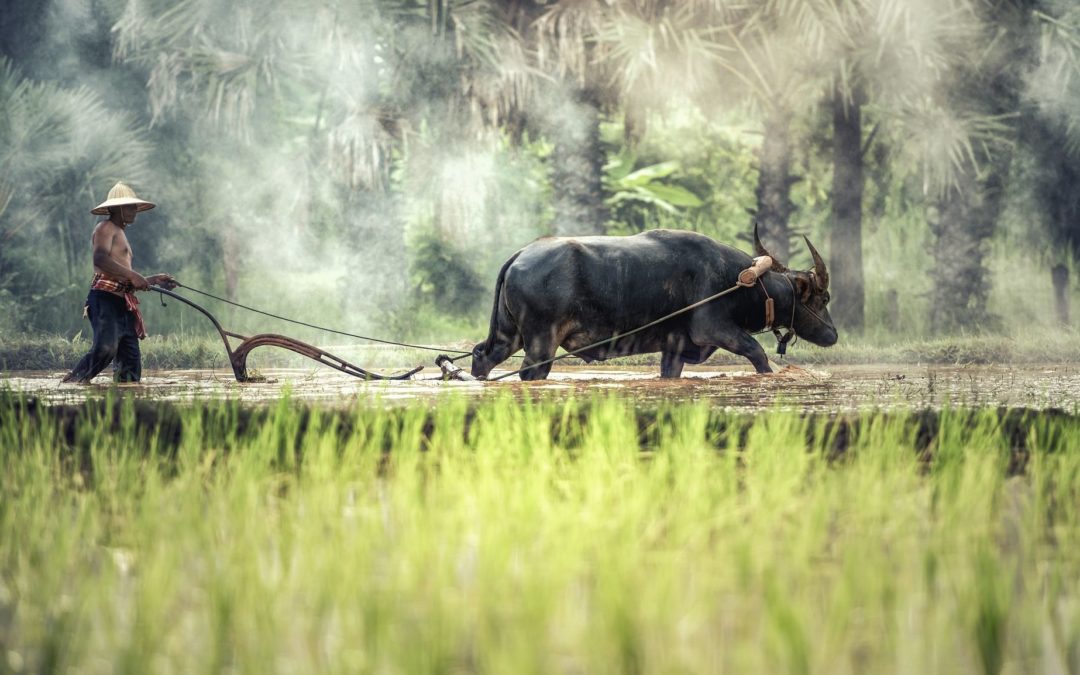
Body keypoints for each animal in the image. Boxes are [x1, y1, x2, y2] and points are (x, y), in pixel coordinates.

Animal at [470, 226, 833, 380]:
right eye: (824, 297)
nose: (833, 334)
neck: (742, 281)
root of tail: (520, 255)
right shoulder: (715, 329)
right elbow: (758, 354)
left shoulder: (675, 348)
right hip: (541, 342)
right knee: (530, 372)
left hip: (508, 335)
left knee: (482, 356)